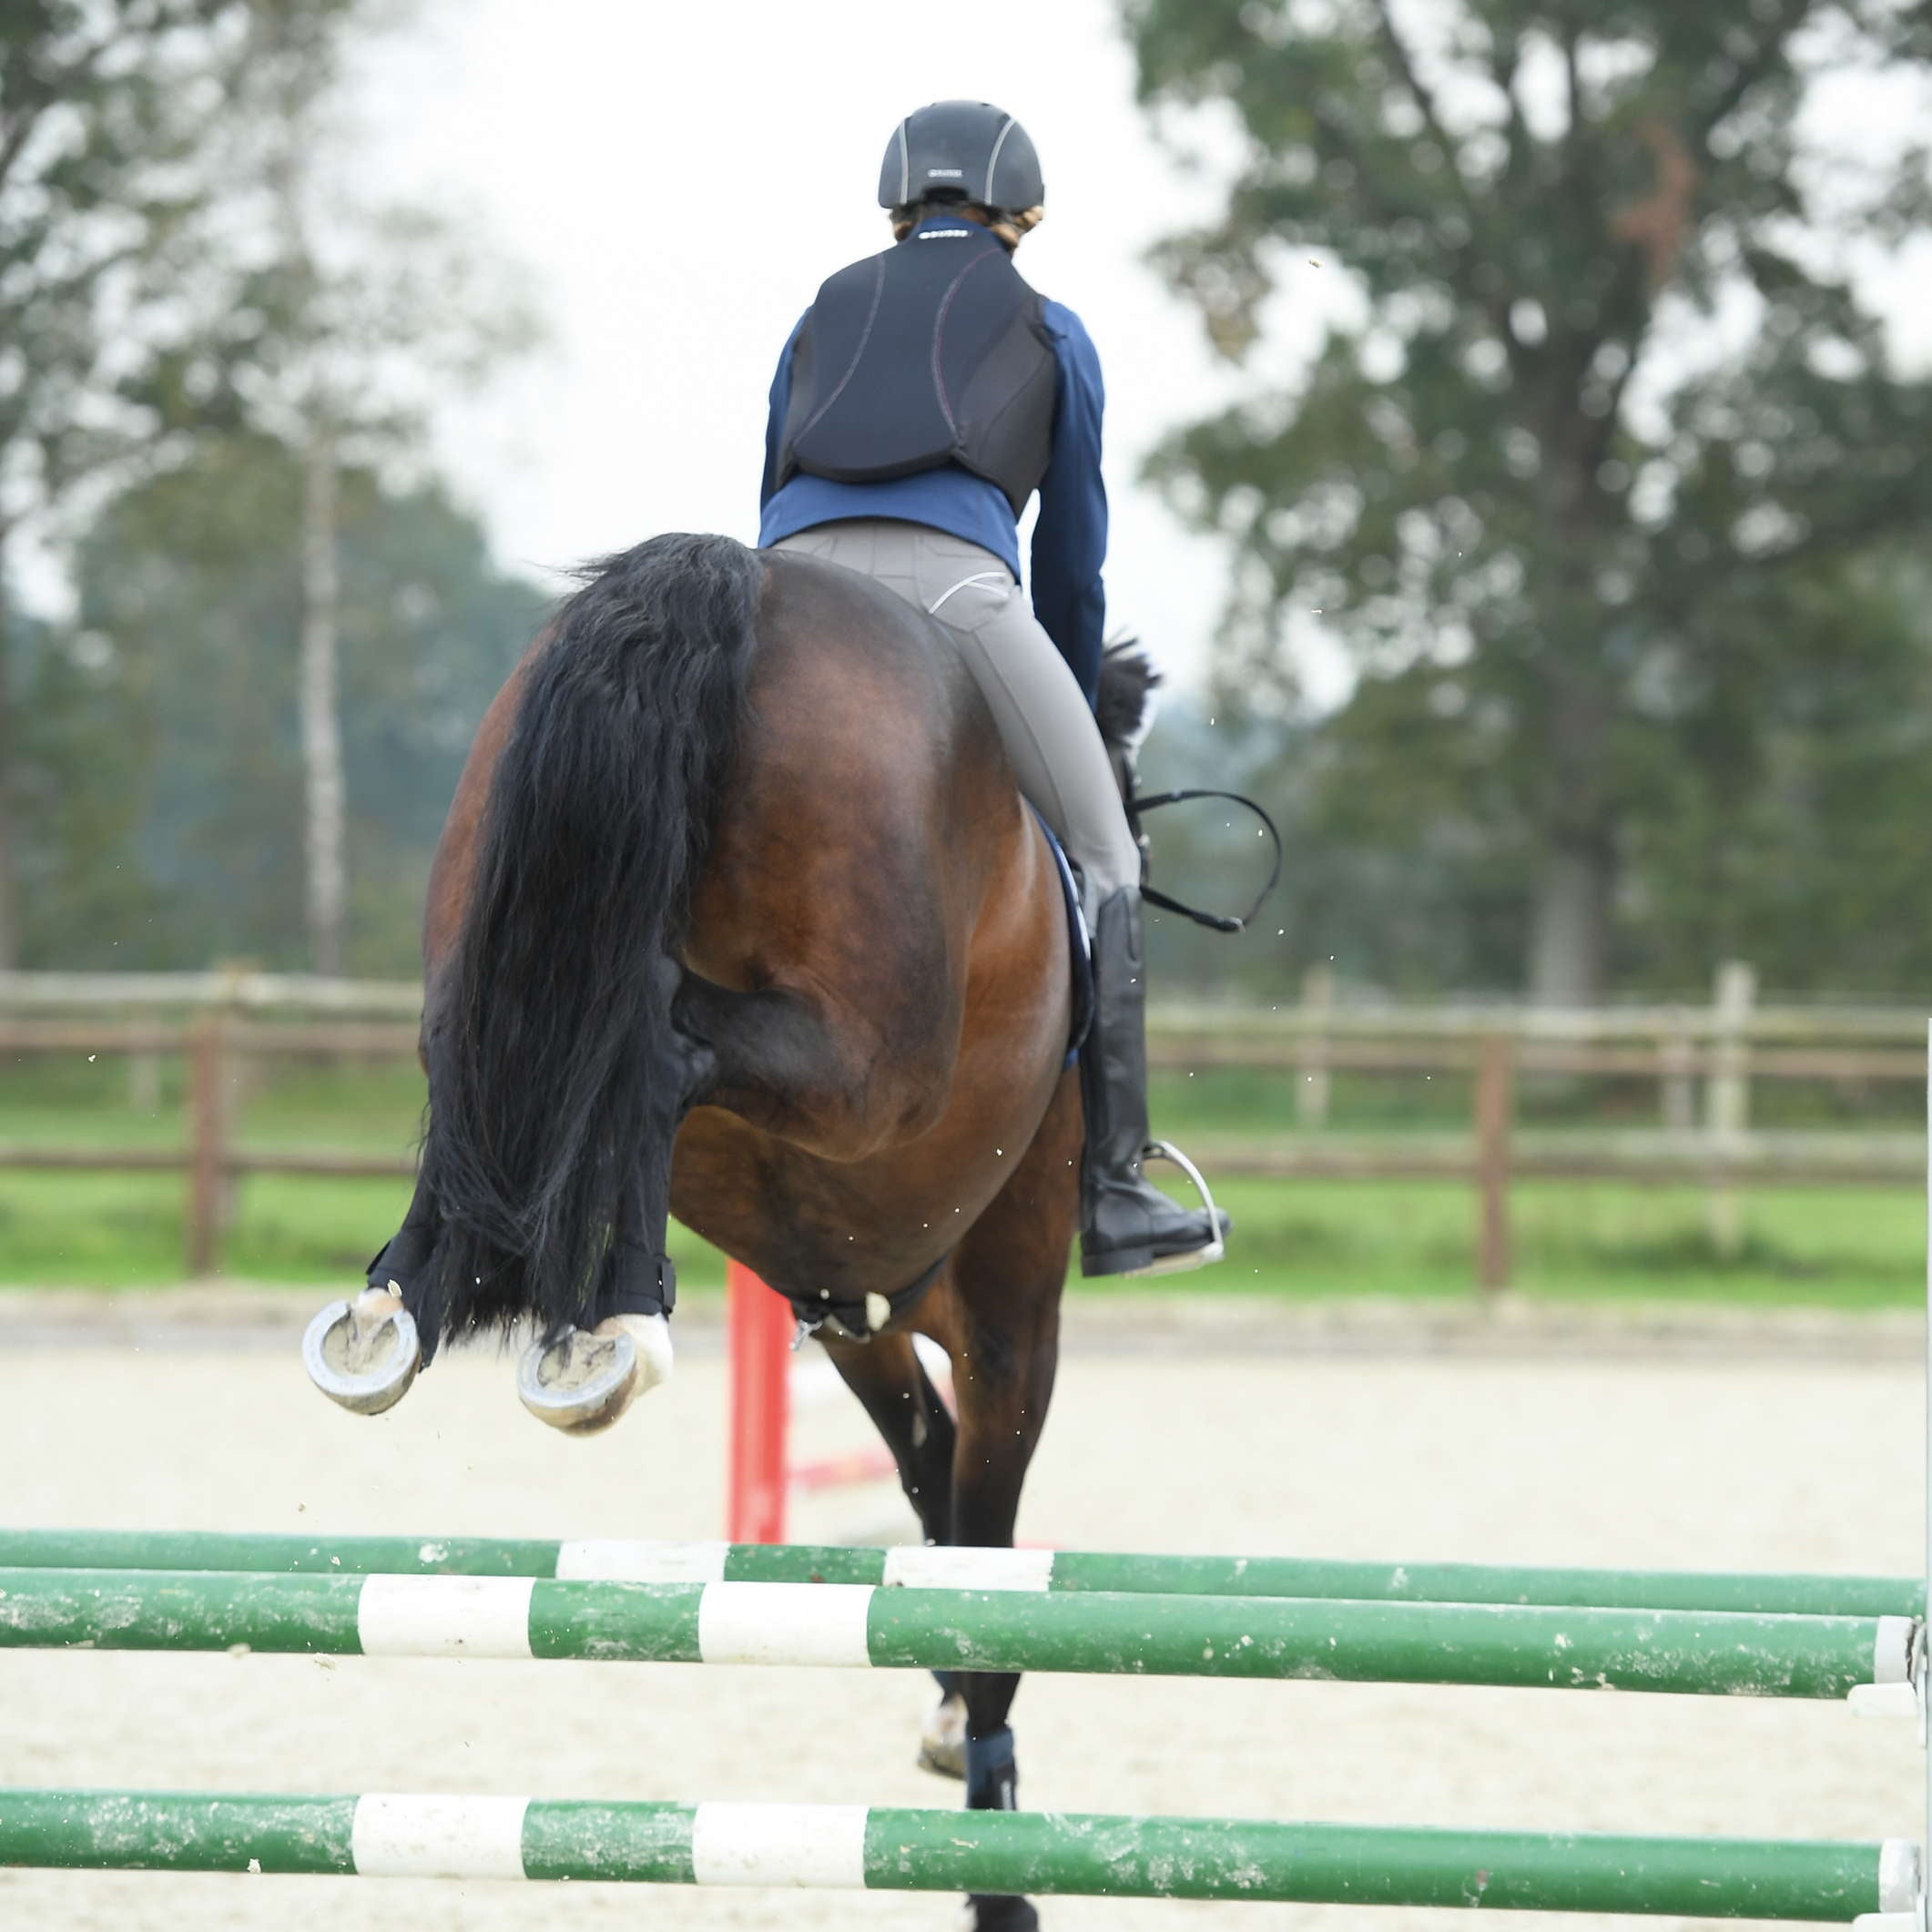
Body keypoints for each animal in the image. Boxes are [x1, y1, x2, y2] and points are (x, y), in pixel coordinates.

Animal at [295, 529, 1151, 1932]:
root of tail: (746, 584)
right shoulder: (1010, 1322)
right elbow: (979, 1541)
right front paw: (989, 1827)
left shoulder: (859, 1315)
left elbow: (930, 1484)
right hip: (862, 1059)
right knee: (661, 1036)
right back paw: (613, 1322)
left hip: (502, 904)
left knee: (506, 1038)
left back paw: (412, 1304)